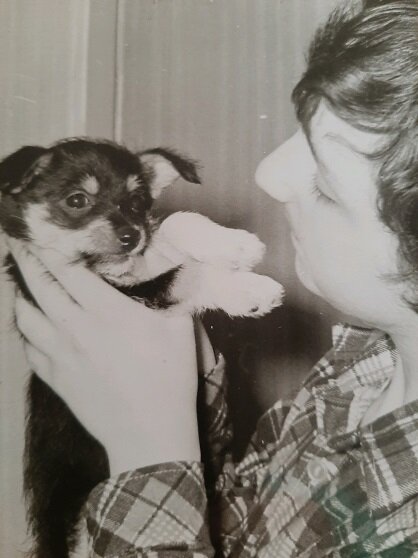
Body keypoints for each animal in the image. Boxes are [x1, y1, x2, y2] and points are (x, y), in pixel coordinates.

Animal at [0, 138, 283, 558]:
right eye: (77, 200)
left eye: (136, 203)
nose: (130, 236)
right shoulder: (137, 292)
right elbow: (184, 275)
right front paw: (249, 289)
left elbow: (173, 223)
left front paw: (235, 245)